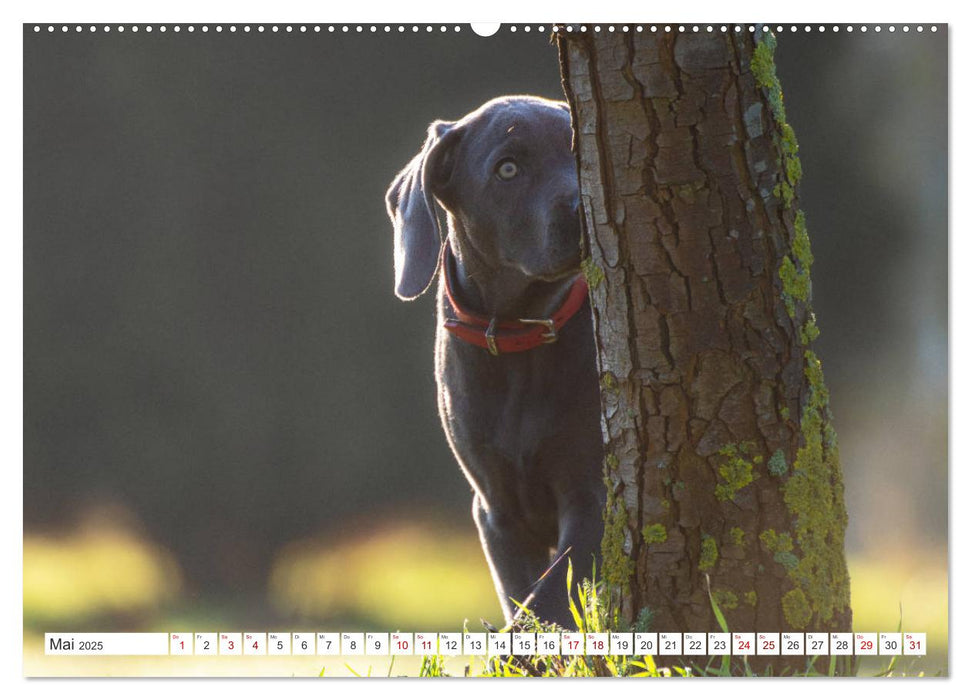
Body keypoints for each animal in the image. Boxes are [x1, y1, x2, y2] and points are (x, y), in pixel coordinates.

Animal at [384, 95, 604, 628]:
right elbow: (523, 598)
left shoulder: (593, 496)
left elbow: (547, 601)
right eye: (508, 169)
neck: (518, 332)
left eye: (579, 151)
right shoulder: (497, 511)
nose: (583, 212)